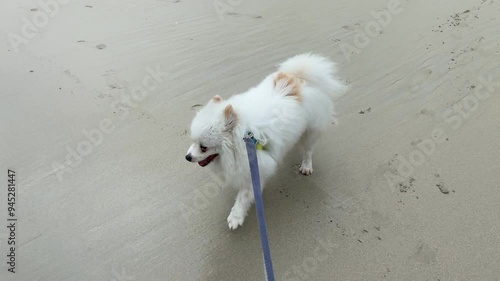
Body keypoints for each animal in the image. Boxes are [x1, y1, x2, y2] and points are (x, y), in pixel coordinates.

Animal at [186, 53, 346, 229]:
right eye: (193, 142)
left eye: (203, 147)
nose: (187, 157)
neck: (245, 139)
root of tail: (298, 77)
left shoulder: (255, 167)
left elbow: (243, 196)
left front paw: (235, 216)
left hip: (311, 130)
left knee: (309, 150)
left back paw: (306, 165)